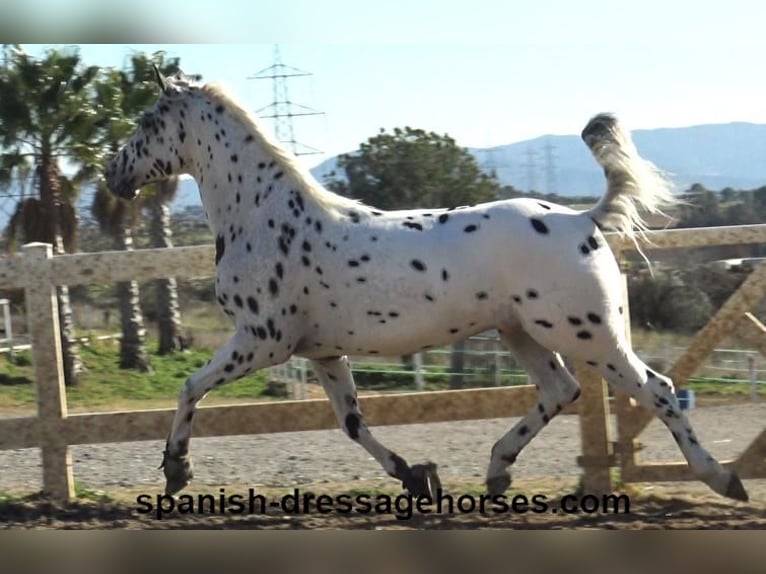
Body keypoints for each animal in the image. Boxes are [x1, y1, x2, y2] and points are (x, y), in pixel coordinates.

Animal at [103, 68, 752, 504]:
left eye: (146, 121)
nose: (113, 174)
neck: (264, 218)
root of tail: (583, 220)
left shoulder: (263, 340)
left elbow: (190, 388)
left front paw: (176, 470)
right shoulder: (323, 352)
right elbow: (352, 423)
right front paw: (417, 478)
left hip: (589, 336)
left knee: (658, 390)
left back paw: (724, 479)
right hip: (524, 333)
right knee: (560, 390)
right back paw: (496, 471)